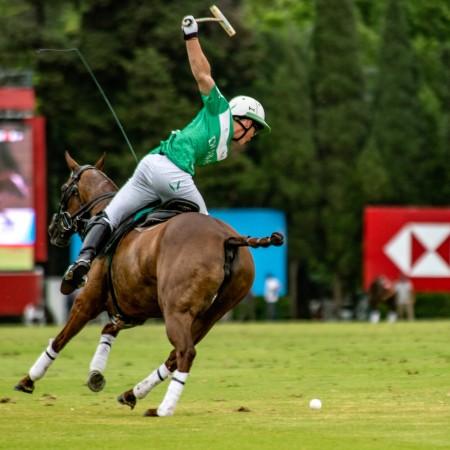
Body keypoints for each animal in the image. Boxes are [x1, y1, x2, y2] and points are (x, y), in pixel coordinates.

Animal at [14, 153, 284, 416]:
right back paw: (133, 393)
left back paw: (164, 407)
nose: (52, 230)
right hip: (210, 316)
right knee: (175, 355)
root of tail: (228, 239)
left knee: (185, 352)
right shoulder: (131, 308)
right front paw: (96, 374)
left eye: (63, 188)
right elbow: (108, 329)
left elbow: (61, 338)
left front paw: (29, 379)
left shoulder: (88, 300)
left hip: (176, 311)